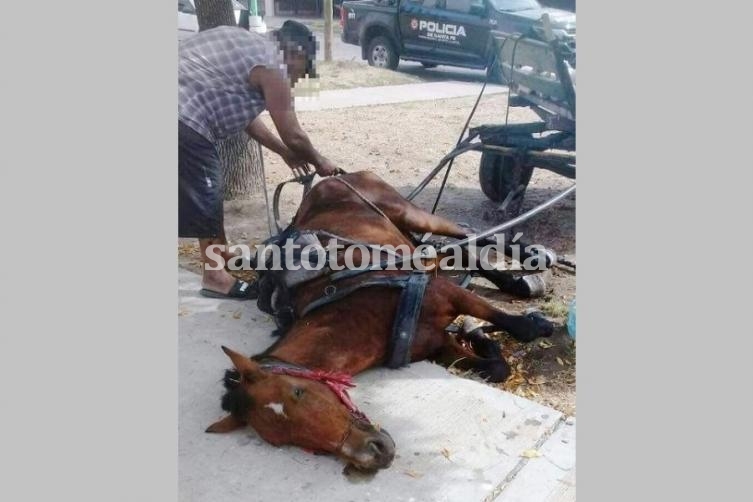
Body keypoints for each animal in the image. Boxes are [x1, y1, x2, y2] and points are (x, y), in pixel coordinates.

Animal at [206, 171, 552, 472]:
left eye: (297, 392)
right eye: (282, 439)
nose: (375, 454)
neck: (356, 310)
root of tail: (330, 178)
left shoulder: (445, 292)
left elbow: (509, 322)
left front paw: (533, 326)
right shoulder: (436, 344)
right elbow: (495, 367)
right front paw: (482, 339)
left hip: (411, 213)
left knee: (466, 235)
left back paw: (532, 258)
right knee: (457, 250)